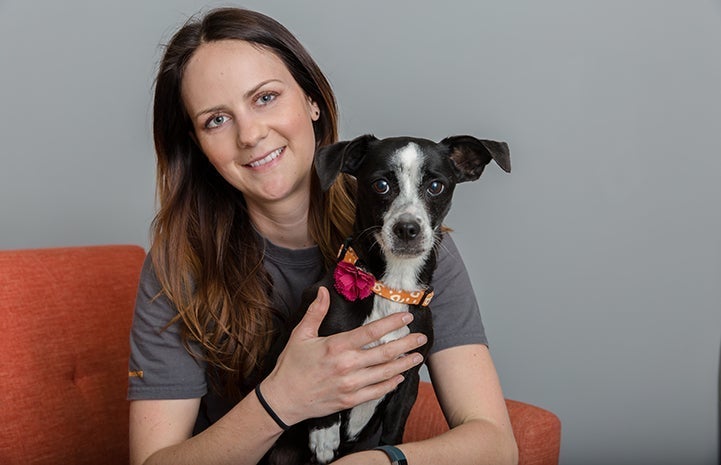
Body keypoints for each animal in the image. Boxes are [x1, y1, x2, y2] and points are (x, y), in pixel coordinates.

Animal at [268, 133, 510, 464]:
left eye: (436, 186)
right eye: (381, 185)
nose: (407, 228)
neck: (391, 287)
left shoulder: (408, 379)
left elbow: (394, 428)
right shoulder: (317, 351)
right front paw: (324, 433)